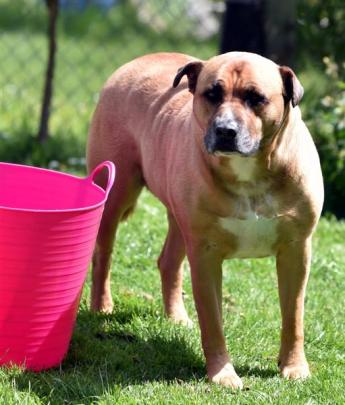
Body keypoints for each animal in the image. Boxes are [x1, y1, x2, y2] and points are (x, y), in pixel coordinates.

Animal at [86, 52, 322, 386]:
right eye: (212, 94)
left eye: (256, 98)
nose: (225, 130)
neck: (250, 173)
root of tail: (136, 62)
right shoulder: (205, 255)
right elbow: (213, 322)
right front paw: (222, 373)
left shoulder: (295, 250)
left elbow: (294, 316)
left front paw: (294, 366)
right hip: (115, 193)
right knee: (103, 254)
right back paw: (102, 306)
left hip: (178, 218)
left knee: (169, 261)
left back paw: (176, 316)